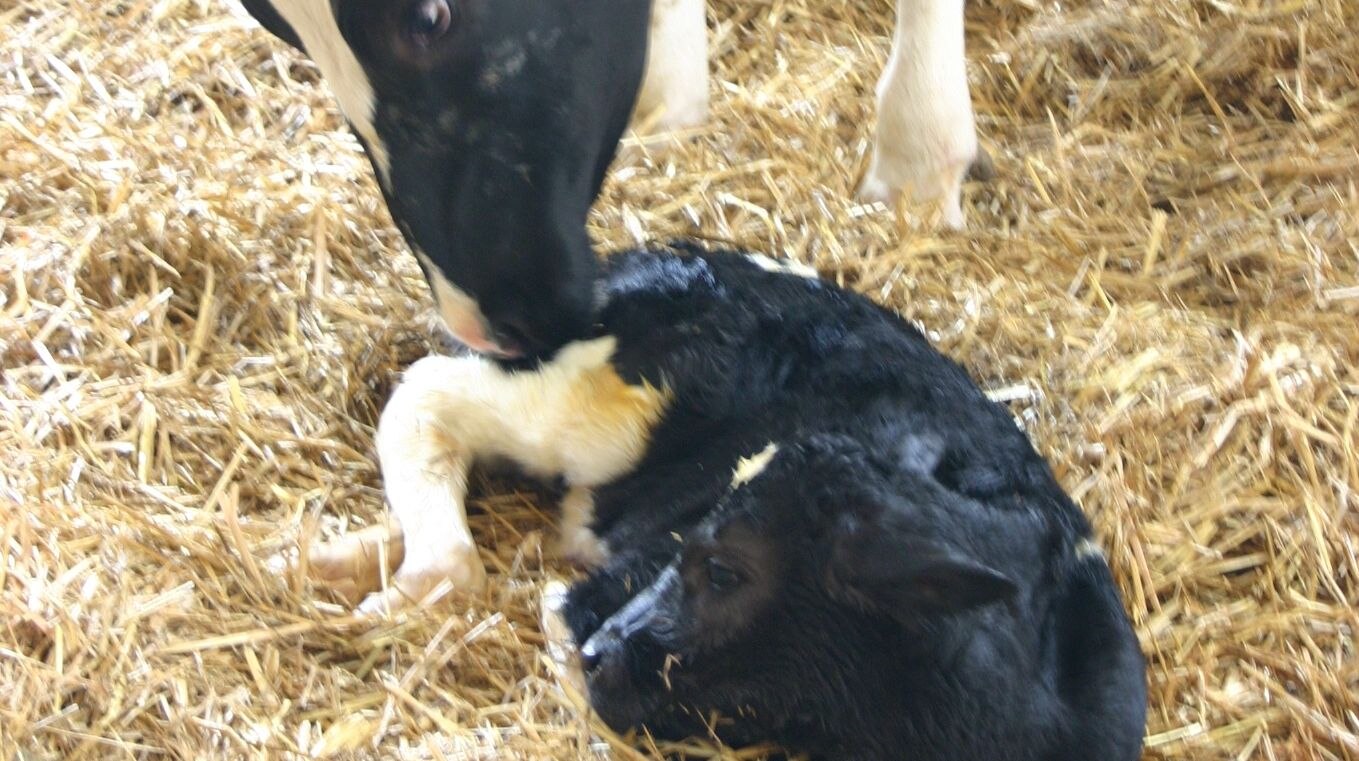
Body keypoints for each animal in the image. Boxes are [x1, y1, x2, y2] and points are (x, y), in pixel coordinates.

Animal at [303, 244, 1141, 761]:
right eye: (701, 547)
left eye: (727, 571)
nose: (605, 646)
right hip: (600, 401)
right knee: (429, 400)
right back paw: (401, 584)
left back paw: (326, 561)